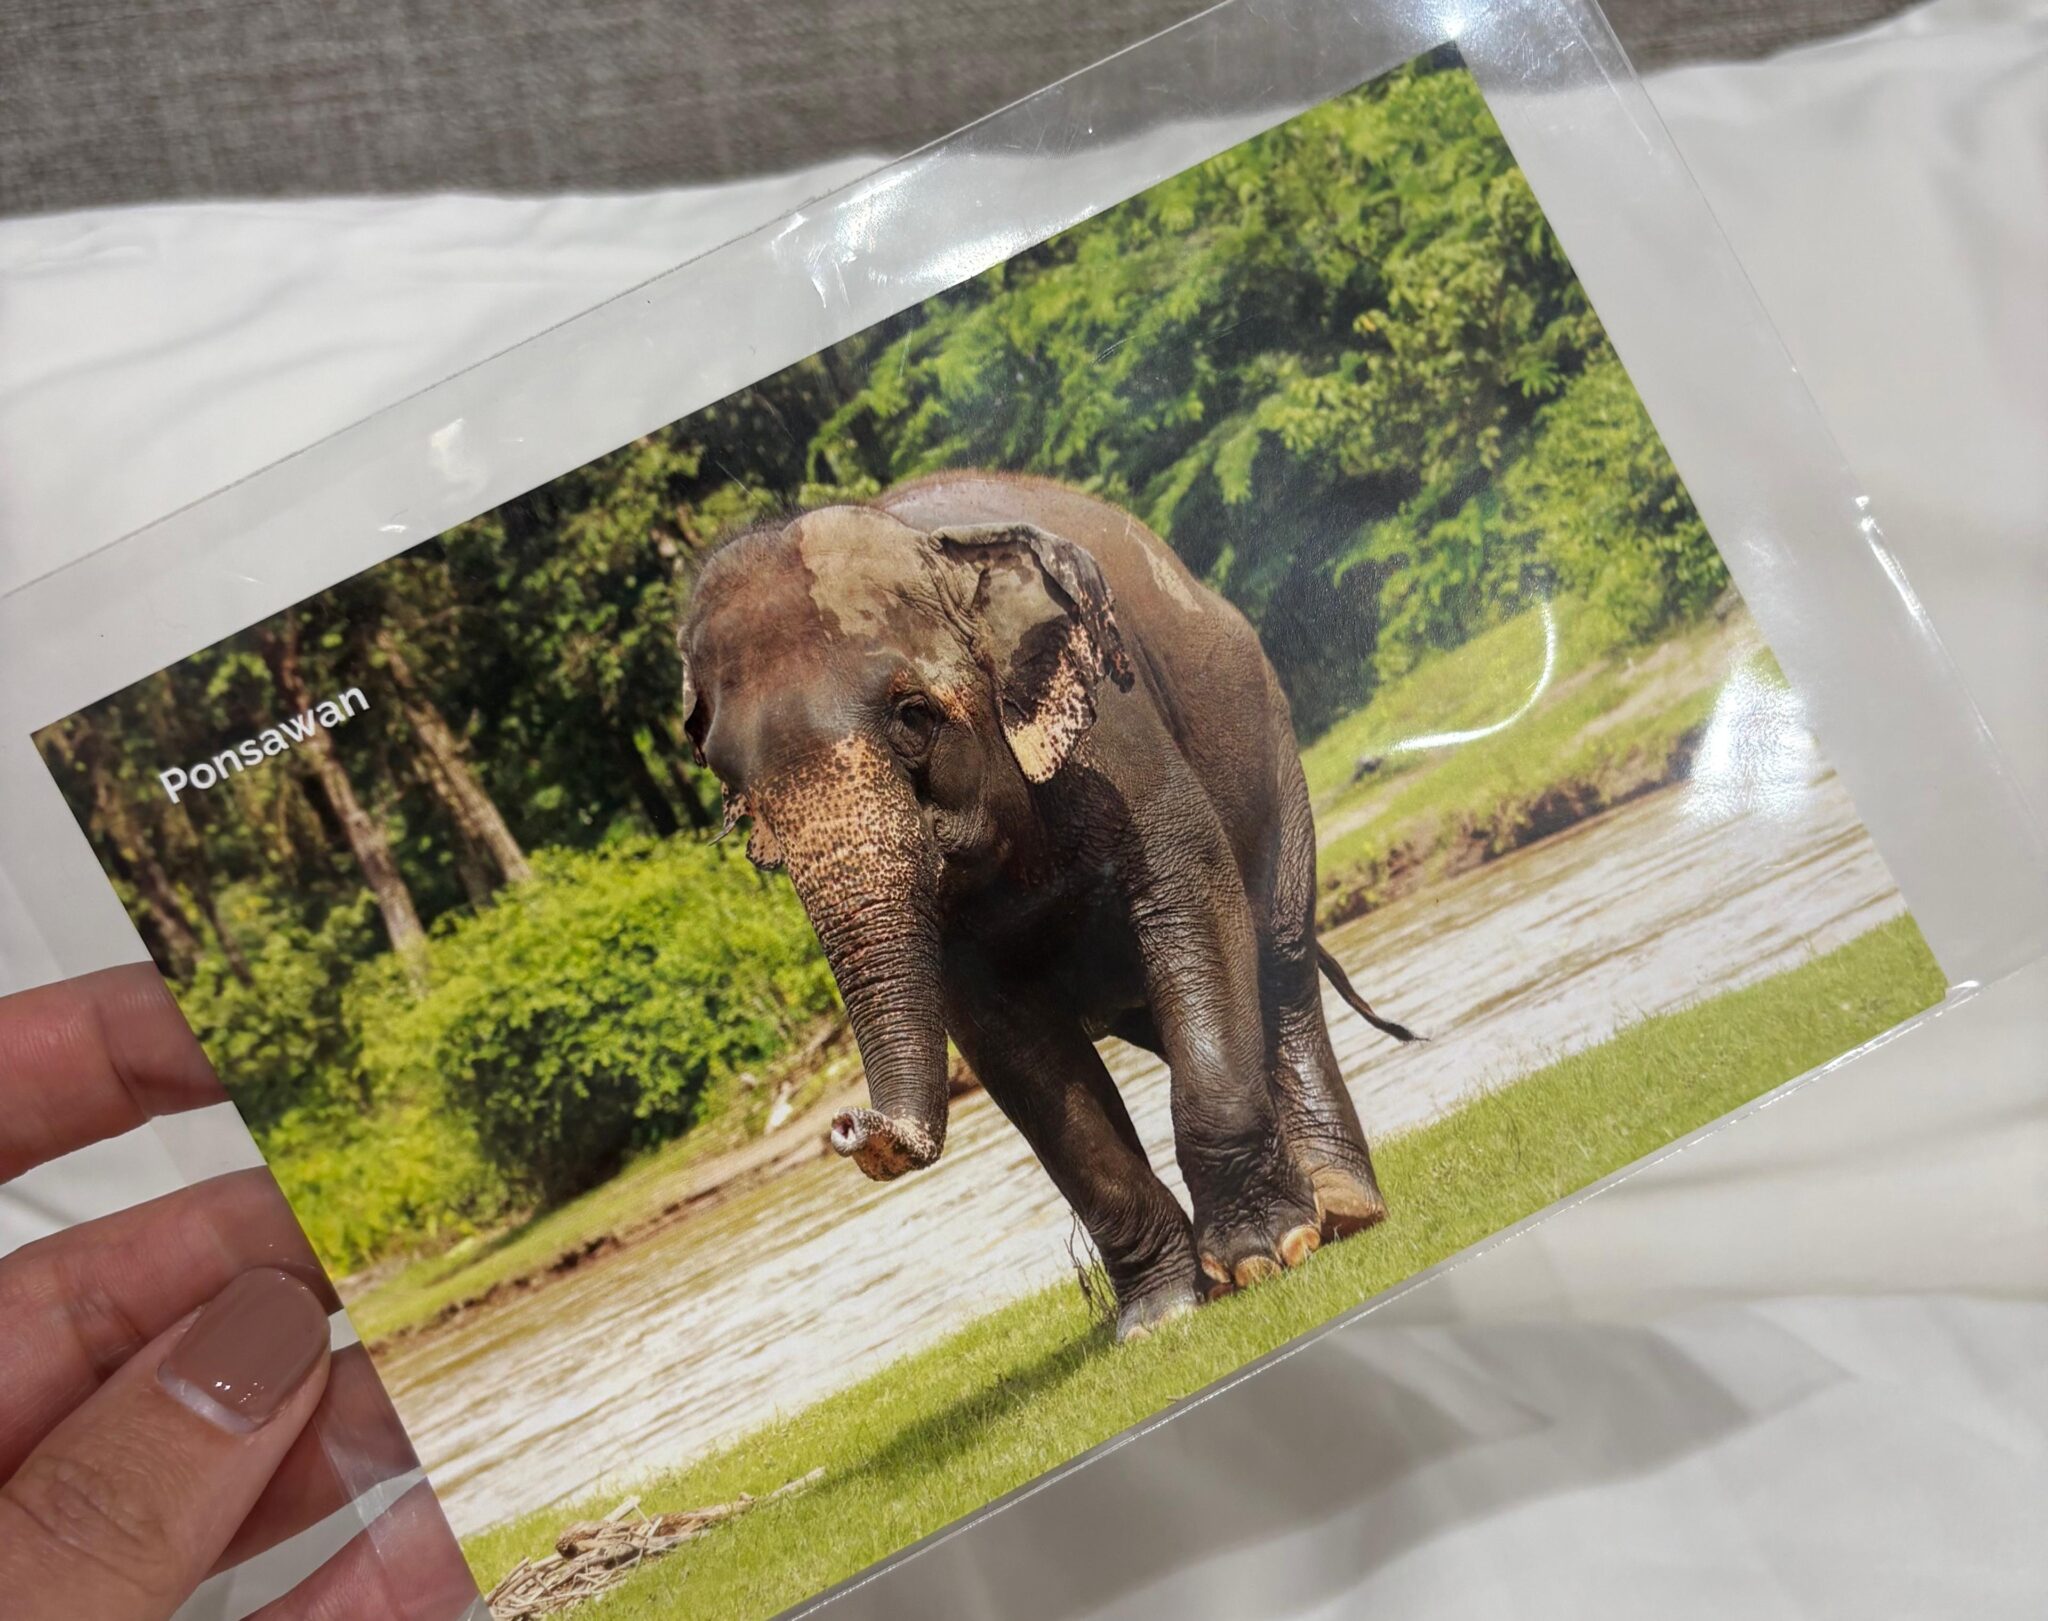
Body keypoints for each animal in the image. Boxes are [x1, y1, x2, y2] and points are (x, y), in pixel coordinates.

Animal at [677, 471, 1415, 1341]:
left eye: (912, 715)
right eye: (737, 789)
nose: (847, 1122)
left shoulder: (1118, 735)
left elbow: (1191, 898)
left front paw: (1263, 1256)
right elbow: (1012, 1045)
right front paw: (1161, 1313)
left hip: (1264, 733)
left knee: (1278, 958)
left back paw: (1341, 1208)